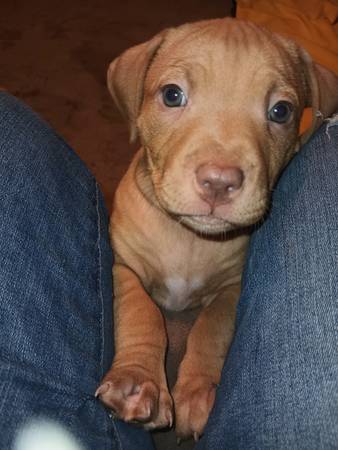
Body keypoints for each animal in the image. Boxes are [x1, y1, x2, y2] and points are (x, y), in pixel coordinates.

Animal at [96, 17, 338, 440]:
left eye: (281, 111)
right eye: (172, 95)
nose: (219, 181)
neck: (190, 239)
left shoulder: (232, 287)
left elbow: (212, 325)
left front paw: (197, 393)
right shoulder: (121, 265)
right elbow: (141, 310)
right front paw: (137, 381)